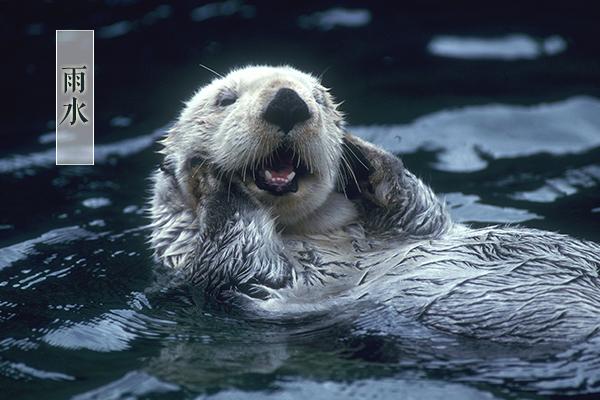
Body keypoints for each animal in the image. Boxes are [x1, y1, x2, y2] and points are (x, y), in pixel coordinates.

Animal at [146, 65, 600, 344]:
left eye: (319, 99)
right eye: (225, 99)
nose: (289, 101)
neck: (316, 234)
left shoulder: (419, 227)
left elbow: (416, 205)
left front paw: (360, 154)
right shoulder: (256, 284)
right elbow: (238, 254)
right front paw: (209, 178)